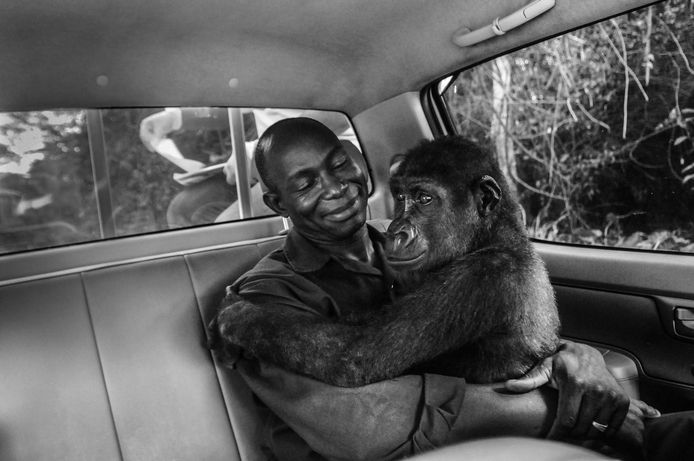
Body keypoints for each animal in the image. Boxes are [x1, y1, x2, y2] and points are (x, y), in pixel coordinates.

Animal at [213, 136, 560, 387]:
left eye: (424, 199)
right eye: (401, 198)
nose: (396, 230)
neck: (490, 237)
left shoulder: (477, 279)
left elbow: (355, 353)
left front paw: (241, 316)